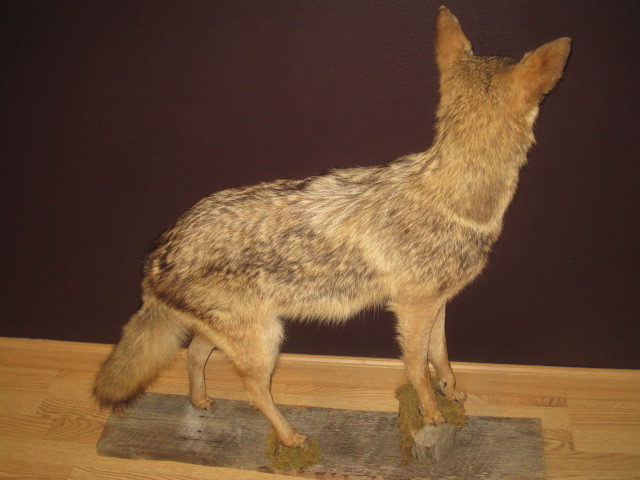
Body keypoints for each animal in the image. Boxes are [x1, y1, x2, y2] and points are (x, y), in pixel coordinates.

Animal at [93, 6, 571, 449]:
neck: (459, 201)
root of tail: (156, 257)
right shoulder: (411, 308)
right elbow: (416, 369)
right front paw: (432, 414)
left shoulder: (439, 303)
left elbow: (442, 357)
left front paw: (452, 393)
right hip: (266, 342)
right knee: (254, 392)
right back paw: (291, 439)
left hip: (238, 337)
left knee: (194, 355)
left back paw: (200, 402)